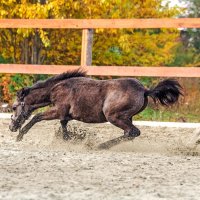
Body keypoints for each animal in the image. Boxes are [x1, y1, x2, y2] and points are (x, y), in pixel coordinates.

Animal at [8, 69, 183, 141]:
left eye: (14, 107)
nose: (11, 127)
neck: (56, 88)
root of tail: (145, 90)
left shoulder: (58, 110)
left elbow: (36, 117)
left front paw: (20, 135)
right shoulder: (65, 115)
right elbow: (63, 124)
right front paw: (67, 139)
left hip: (113, 117)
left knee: (132, 132)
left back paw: (101, 145)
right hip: (126, 117)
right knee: (130, 133)